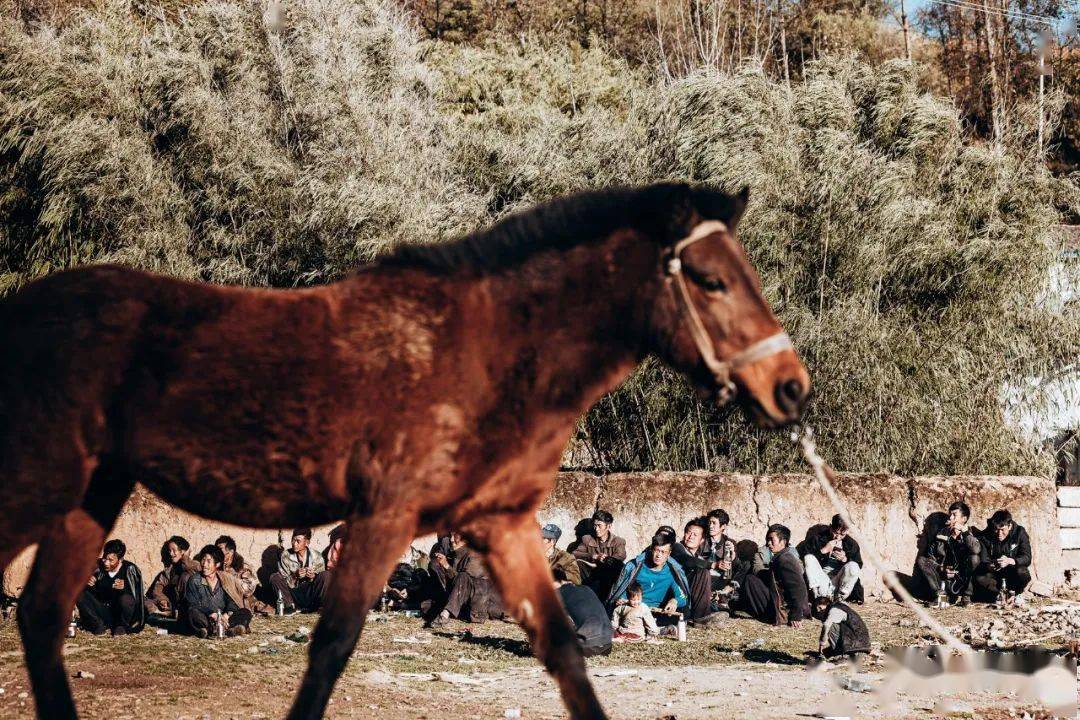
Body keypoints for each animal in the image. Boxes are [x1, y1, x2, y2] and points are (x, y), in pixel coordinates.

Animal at [0, 181, 807, 720]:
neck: (484, 351)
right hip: (38, 483)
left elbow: (563, 651)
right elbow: (330, 648)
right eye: (711, 279)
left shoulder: (501, 527)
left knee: (40, 617)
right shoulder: (383, 517)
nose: (790, 386)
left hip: (89, 496)